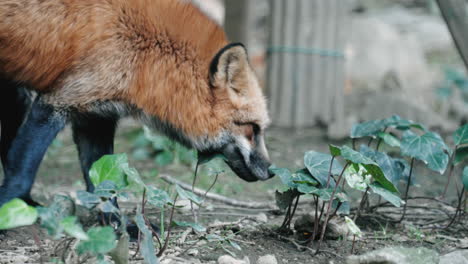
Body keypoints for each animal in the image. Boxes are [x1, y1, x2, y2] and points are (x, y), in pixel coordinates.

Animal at [0, 0, 272, 206]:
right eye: (252, 128)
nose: (271, 171)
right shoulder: (57, 102)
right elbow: (22, 172)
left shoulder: (95, 116)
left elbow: (103, 184)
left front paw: (118, 227)